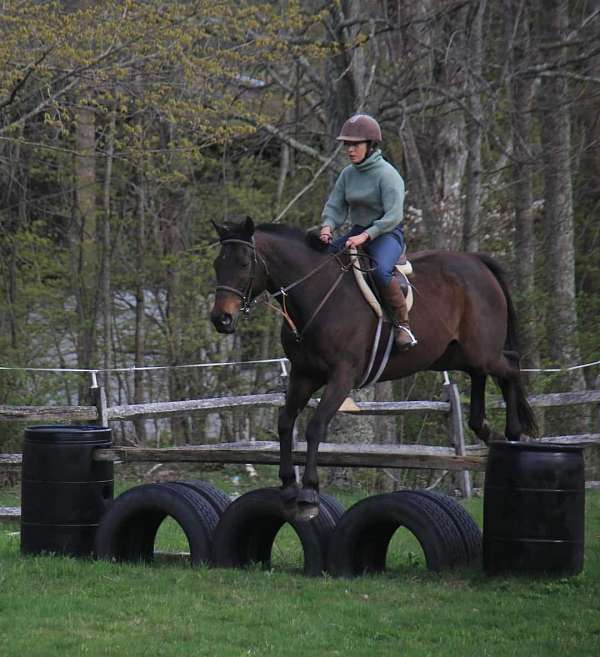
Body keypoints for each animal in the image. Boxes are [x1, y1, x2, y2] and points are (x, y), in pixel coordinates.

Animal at [209, 215, 536, 516]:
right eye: (216, 265)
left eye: (243, 264)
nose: (221, 319)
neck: (315, 294)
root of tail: (477, 262)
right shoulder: (303, 375)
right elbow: (285, 422)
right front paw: (289, 486)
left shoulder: (342, 376)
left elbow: (315, 427)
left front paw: (310, 491)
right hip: (456, 354)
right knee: (482, 374)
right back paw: (486, 429)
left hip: (482, 351)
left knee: (511, 366)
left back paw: (514, 433)